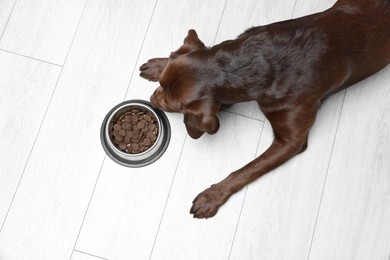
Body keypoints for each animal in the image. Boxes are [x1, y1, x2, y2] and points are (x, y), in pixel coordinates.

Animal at [139, 0, 388, 219]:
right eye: (161, 85)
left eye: (172, 106)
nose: (152, 99)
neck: (257, 66)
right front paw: (159, 65)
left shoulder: (290, 142)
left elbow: (246, 170)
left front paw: (212, 196)